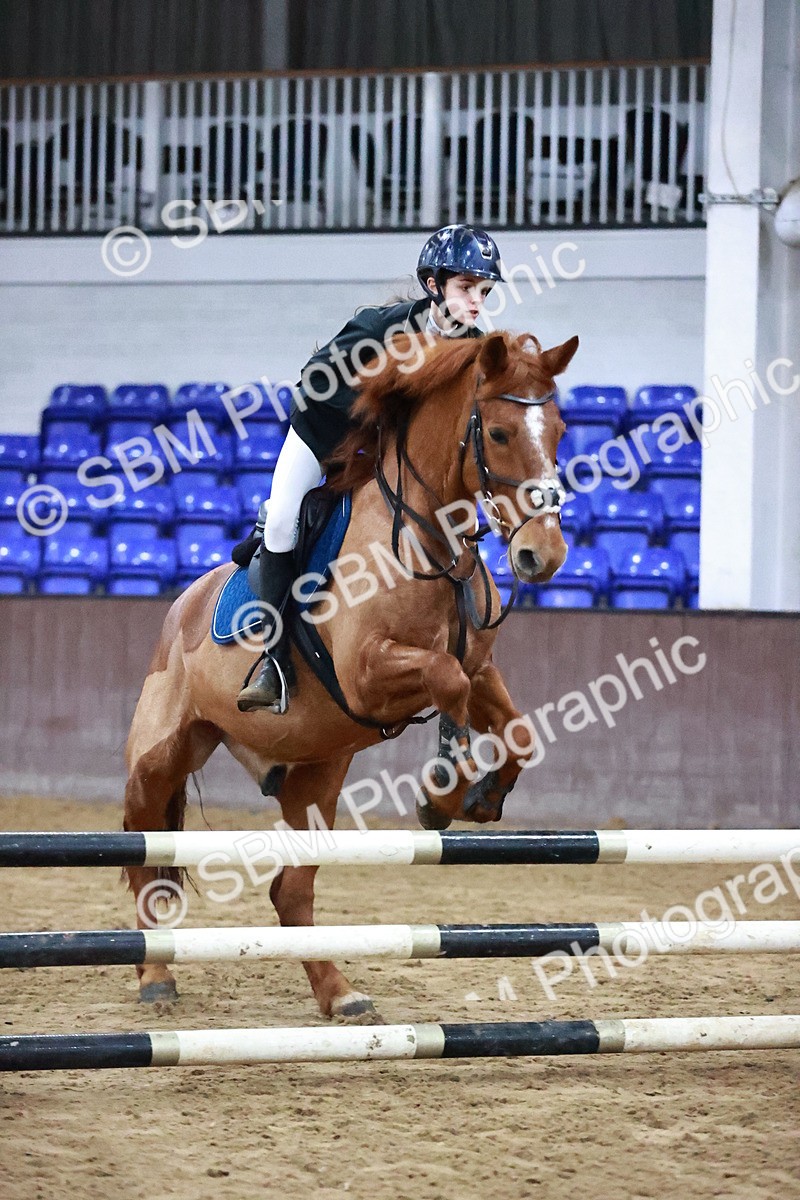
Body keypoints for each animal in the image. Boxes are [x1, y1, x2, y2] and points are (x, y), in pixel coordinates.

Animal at [123, 327, 578, 1020]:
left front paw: (483, 795)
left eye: (557, 430)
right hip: (161, 755)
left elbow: (514, 728)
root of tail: (182, 606)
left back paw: (340, 993)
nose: (542, 555)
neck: (426, 540)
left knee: (291, 892)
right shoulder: (369, 675)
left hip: (316, 775)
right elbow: (445, 679)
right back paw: (155, 977)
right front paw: (441, 794)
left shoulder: (482, 668)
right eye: (499, 433)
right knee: (147, 861)